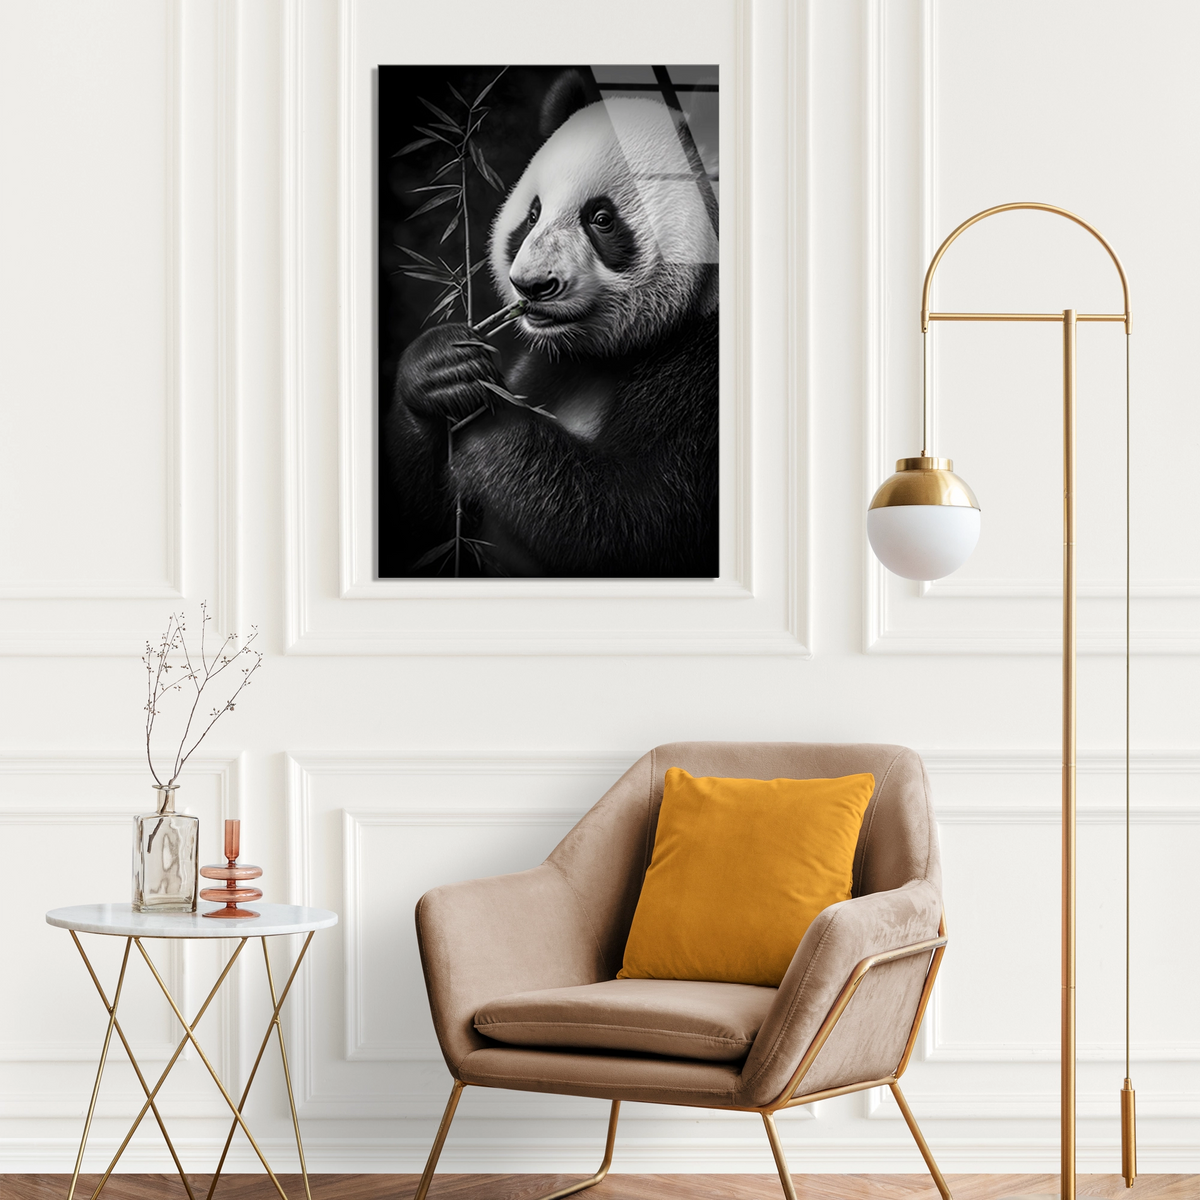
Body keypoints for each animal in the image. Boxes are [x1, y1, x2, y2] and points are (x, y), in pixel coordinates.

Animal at [384, 79, 719, 577]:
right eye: (532, 214)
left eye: (602, 219)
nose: (532, 286)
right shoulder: (550, 364)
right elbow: (429, 533)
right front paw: (441, 369)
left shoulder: (703, 377)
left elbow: (638, 520)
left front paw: (490, 415)